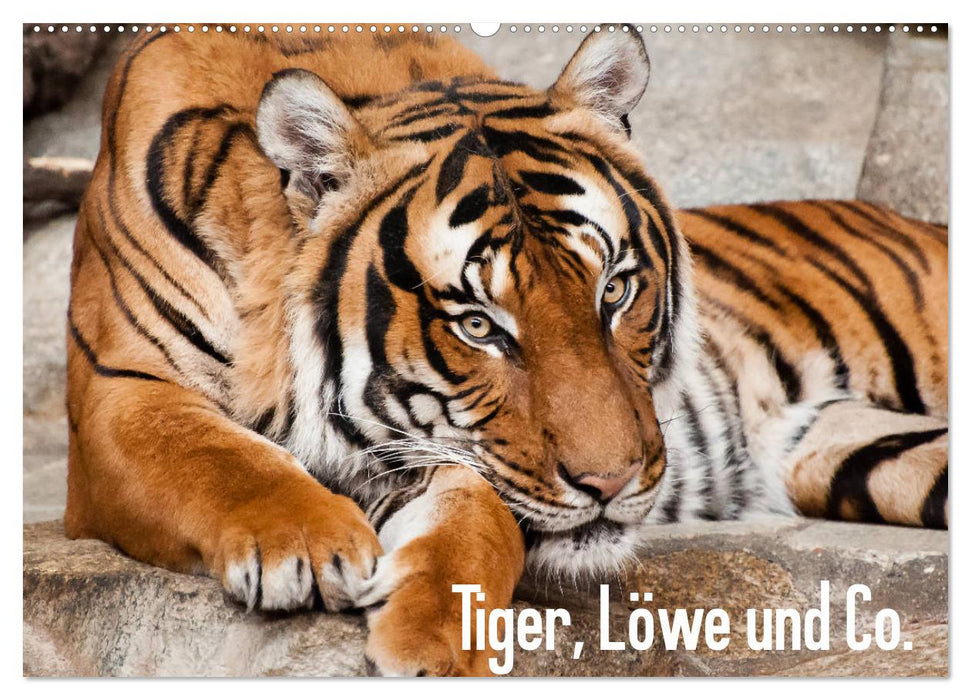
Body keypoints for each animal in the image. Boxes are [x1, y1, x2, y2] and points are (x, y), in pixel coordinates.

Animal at [65, 26, 948, 676]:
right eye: (479, 326)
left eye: (614, 291)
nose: (612, 484)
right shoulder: (119, 392)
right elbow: (210, 454)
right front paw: (305, 544)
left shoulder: (442, 445)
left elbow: (480, 516)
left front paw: (435, 642)